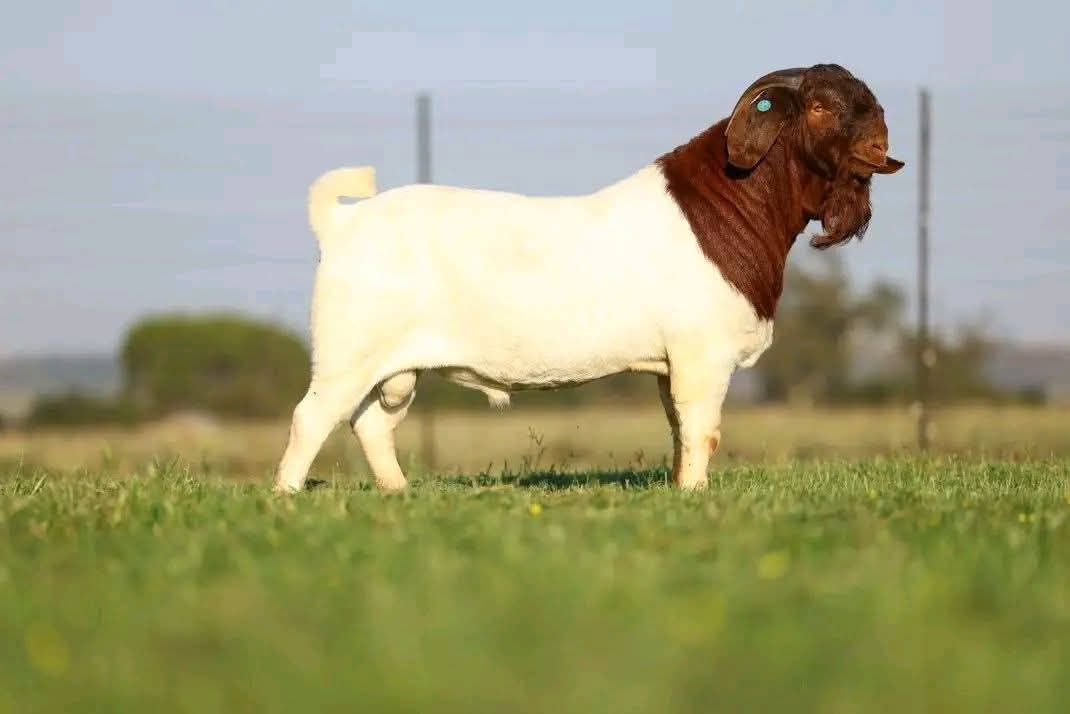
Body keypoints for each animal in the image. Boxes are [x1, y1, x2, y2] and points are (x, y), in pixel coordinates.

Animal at [274, 64, 904, 493]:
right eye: (819, 107)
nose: (878, 142)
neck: (727, 207)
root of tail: (343, 222)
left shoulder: (670, 363)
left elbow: (678, 428)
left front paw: (680, 488)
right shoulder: (702, 353)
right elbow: (703, 428)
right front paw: (696, 494)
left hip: (395, 367)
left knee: (371, 424)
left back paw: (399, 494)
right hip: (347, 353)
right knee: (311, 418)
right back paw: (285, 497)